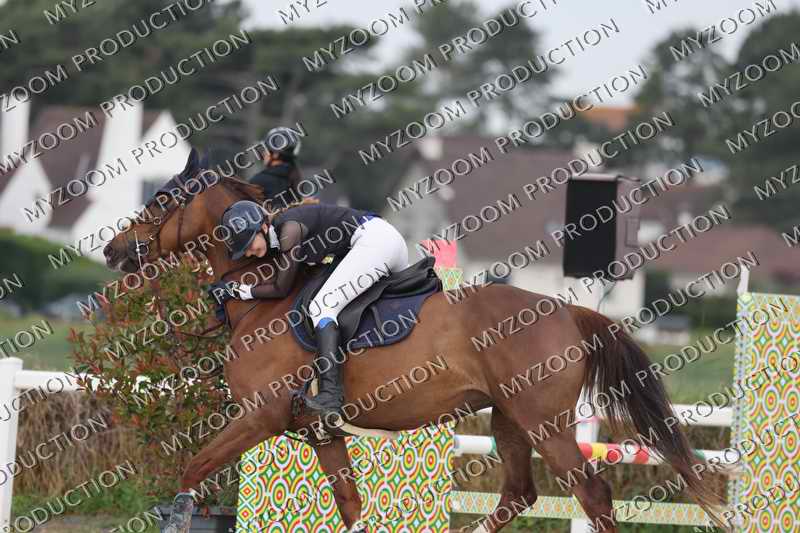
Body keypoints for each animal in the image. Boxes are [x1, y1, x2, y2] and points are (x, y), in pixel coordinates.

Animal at [102, 150, 726, 532]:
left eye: (159, 201)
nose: (112, 249)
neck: (264, 296)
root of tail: (568, 310)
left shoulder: (259, 417)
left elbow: (192, 471)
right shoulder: (319, 432)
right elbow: (350, 504)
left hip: (544, 423)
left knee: (592, 494)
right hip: (508, 419)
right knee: (518, 494)